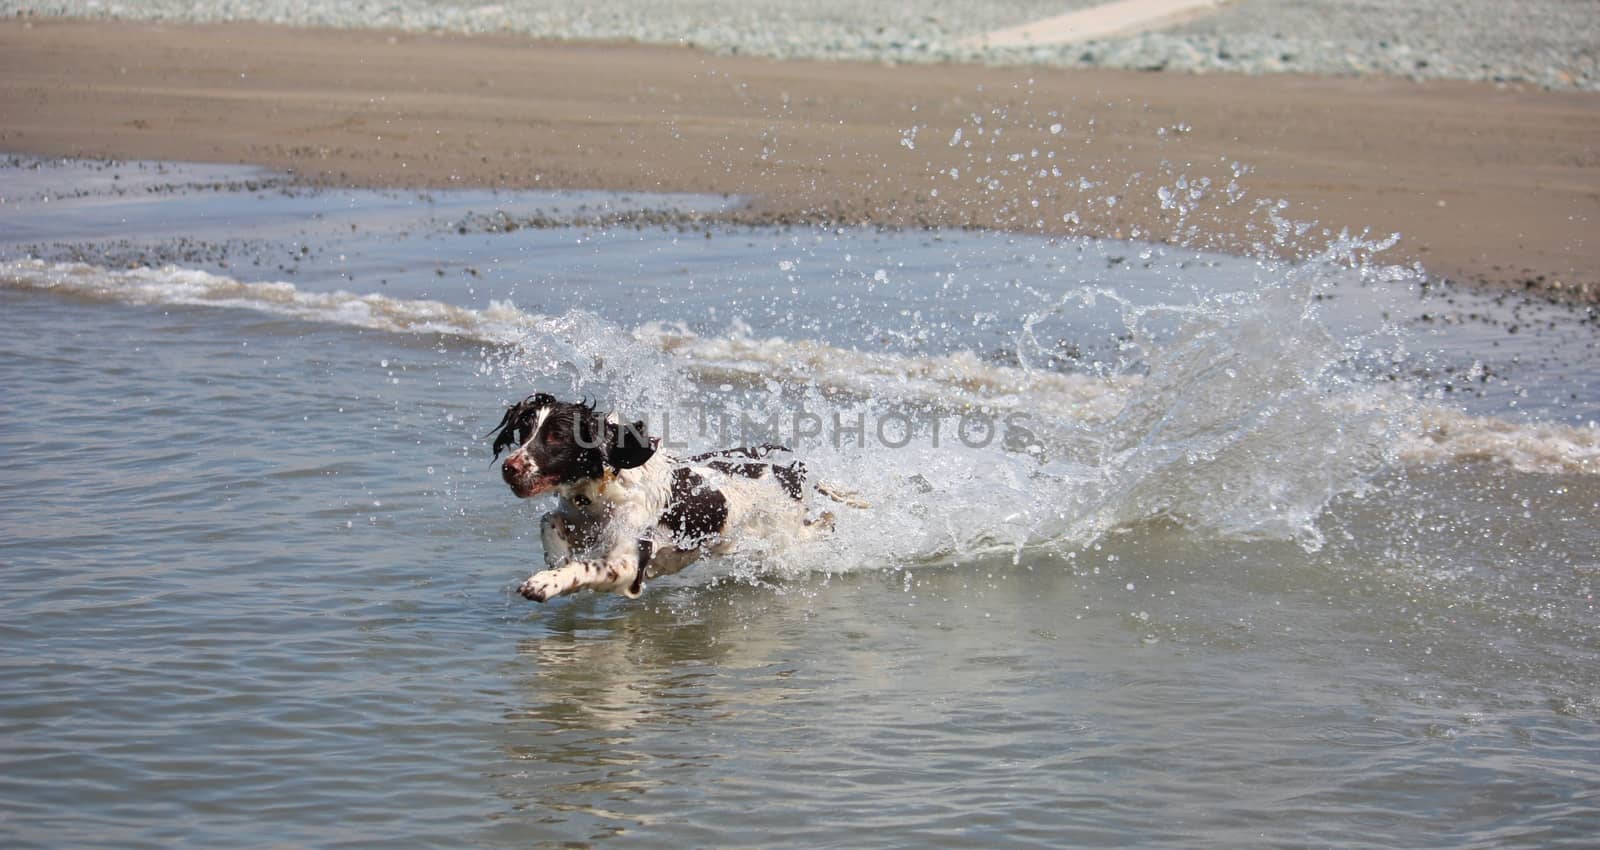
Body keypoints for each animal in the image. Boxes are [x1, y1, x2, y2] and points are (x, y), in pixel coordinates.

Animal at [486, 395, 864, 601]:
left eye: (556, 437)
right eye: (525, 431)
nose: (509, 467)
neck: (602, 494)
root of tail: (792, 467)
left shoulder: (627, 564)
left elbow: (585, 567)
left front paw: (544, 583)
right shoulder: (577, 518)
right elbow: (549, 519)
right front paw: (556, 557)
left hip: (784, 535)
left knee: (821, 527)